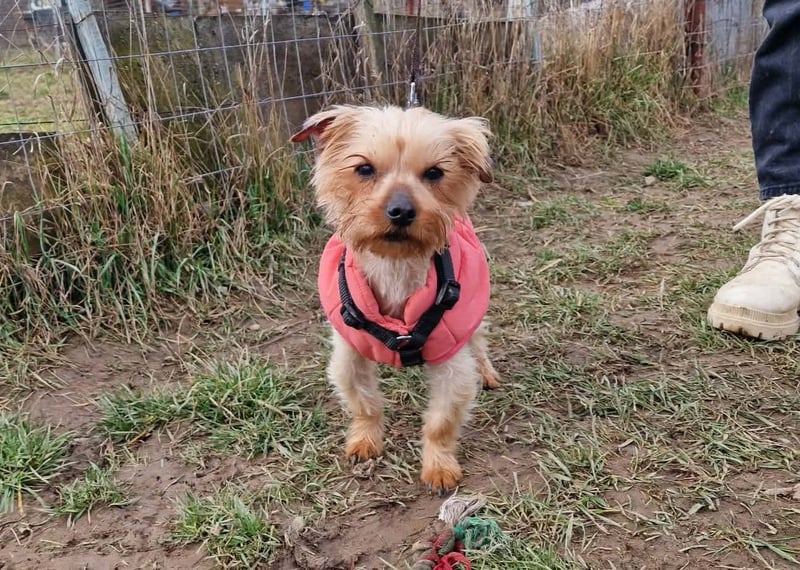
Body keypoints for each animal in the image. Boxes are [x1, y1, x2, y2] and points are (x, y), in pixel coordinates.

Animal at [291, 105, 500, 494]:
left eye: (434, 173)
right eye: (364, 168)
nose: (401, 211)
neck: (395, 267)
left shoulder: (451, 360)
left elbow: (441, 420)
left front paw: (439, 467)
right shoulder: (349, 353)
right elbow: (364, 402)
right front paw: (365, 440)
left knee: (478, 341)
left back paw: (487, 371)